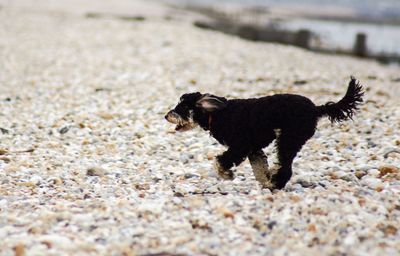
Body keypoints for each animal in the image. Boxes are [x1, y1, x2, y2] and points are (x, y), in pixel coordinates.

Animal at [164, 77, 364, 189]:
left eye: (181, 108)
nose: (166, 116)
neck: (217, 114)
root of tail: (315, 108)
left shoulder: (241, 146)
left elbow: (220, 161)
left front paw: (227, 175)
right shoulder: (254, 150)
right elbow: (259, 168)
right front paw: (264, 180)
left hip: (288, 139)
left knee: (286, 167)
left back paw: (277, 184)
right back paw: (273, 182)